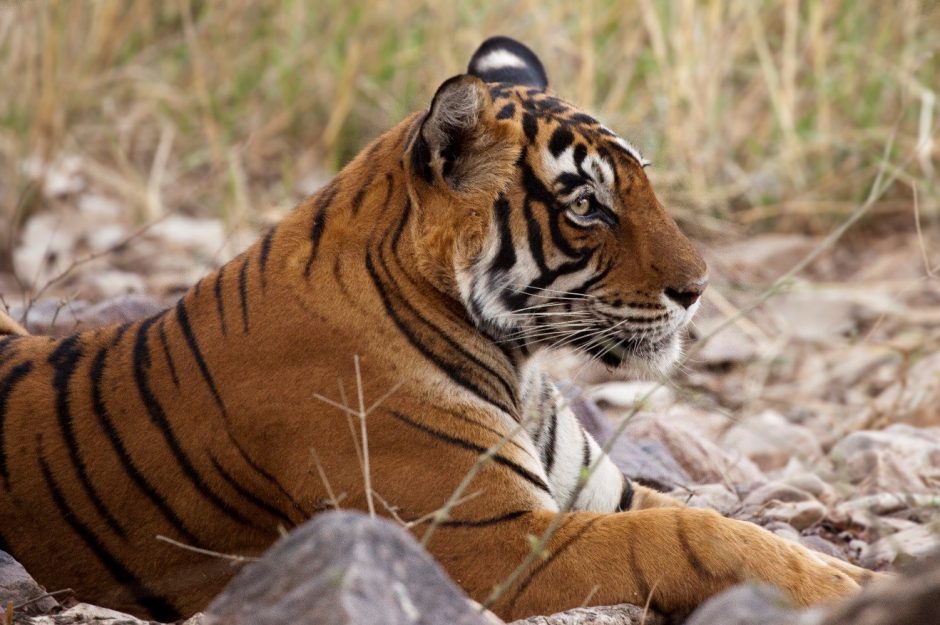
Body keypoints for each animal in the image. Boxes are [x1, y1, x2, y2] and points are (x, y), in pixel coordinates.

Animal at [0, 36, 878, 621]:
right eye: (587, 205)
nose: (698, 289)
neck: (520, 363)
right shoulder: (482, 540)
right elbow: (692, 533)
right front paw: (838, 587)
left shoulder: (602, 491)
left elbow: (744, 525)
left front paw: (857, 575)